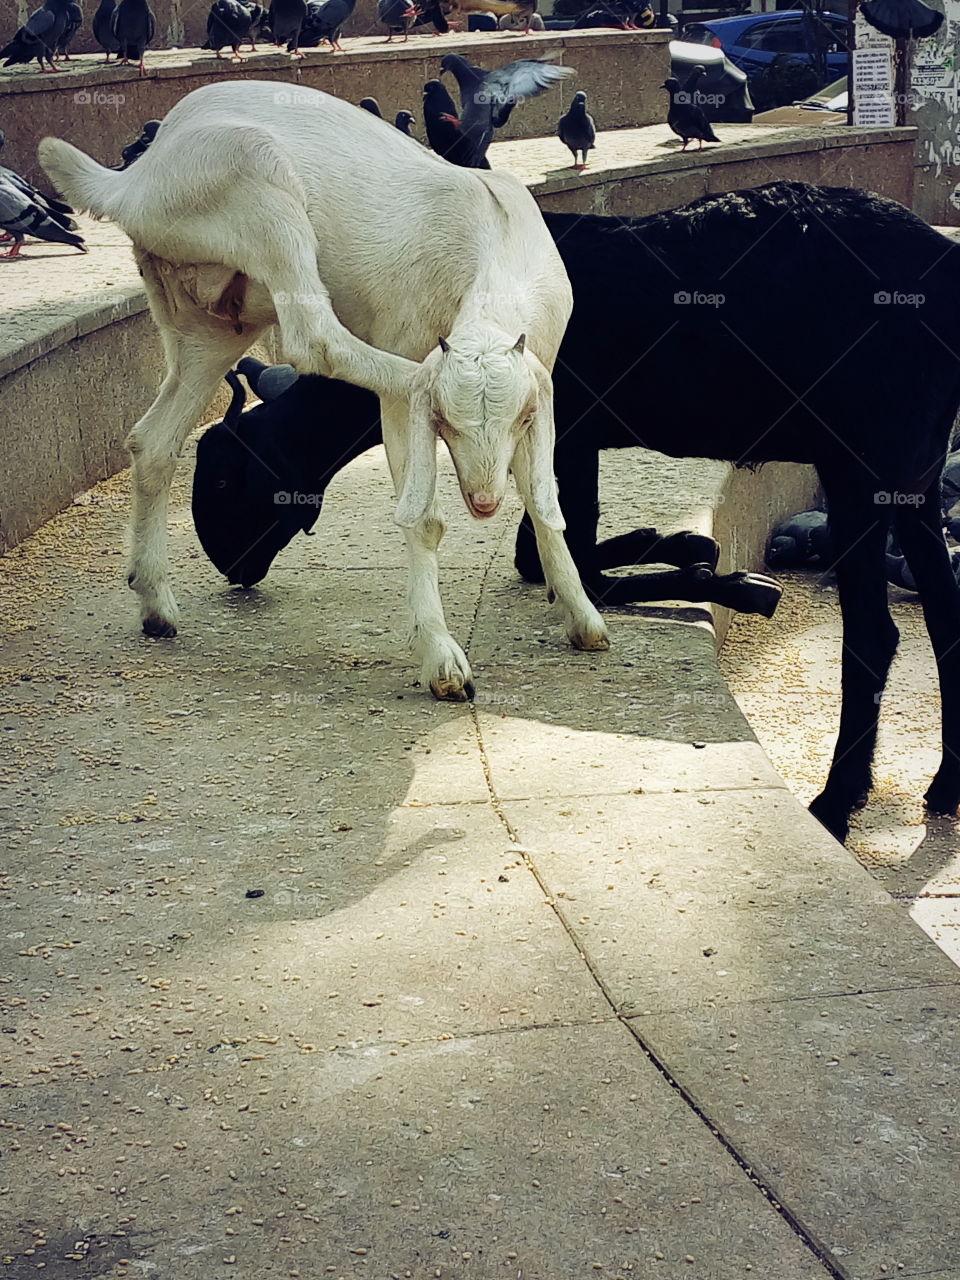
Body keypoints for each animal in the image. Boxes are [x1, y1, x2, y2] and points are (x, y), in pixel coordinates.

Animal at [38, 79, 607, 703]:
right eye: (445, 424)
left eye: (517, 421)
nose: (483, 501)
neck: (496, 239)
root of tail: (134, 180)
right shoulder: (405, 373)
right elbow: (424, 516)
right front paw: (441, 660)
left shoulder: (538, 383)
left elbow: (542, 497)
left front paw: (584, 619)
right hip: (257, 187)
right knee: (313, 337)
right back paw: (409, 376)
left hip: (207, 320)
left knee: (154, 439)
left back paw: (155, 604)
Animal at [191, 182, 960, 843]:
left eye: (225, 480)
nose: (231, 566)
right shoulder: (570, 438)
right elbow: (555, 551)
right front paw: (684, 550)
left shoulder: (568, 428)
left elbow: (563, 552)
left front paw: (719, 578)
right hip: (915, 476)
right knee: (943, 613)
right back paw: (944, 786)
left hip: (863, 461)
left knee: (876, 635)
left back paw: (836, 802)